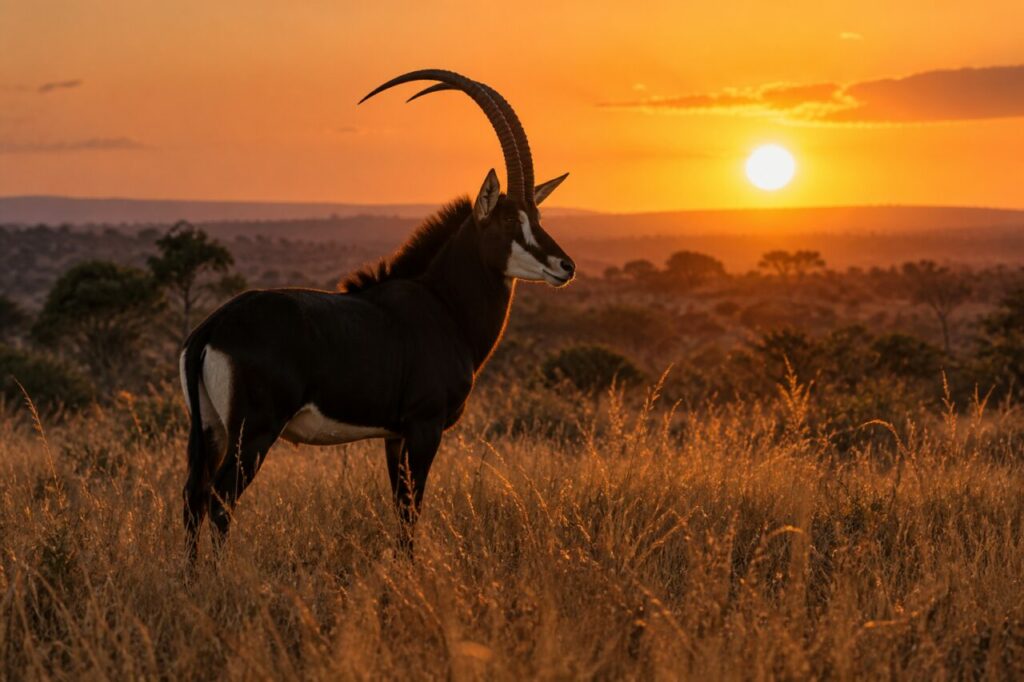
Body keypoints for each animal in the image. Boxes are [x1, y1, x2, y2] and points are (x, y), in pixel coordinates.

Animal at [179, 69, 576, 562]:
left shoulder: (393, 435)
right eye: (507, 221)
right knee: (219, 500)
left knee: (194, 498)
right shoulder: (424, 427)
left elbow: (399, 507)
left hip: (211, 429)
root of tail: (213, 327)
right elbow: (411, 509)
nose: (565, 266)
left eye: (537, 216)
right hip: (253, 431)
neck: (443, 304)